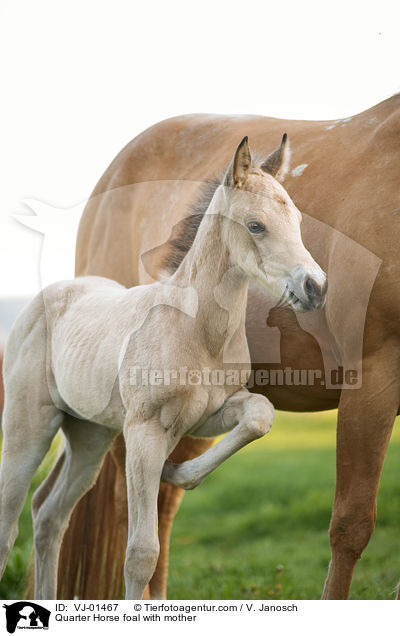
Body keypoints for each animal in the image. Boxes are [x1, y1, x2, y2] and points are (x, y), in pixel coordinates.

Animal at [0, 137, 326, 600]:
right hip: (28, 427)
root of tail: (51, 293)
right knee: (8, 527)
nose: (315, 287)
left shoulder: (203, 417)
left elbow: (259, 414)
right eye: (256, 225)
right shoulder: (146, 431)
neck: (195, 328)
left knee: (49, 515)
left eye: (296, 219)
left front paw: (176, 472)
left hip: (89, 436)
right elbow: (141, 555)